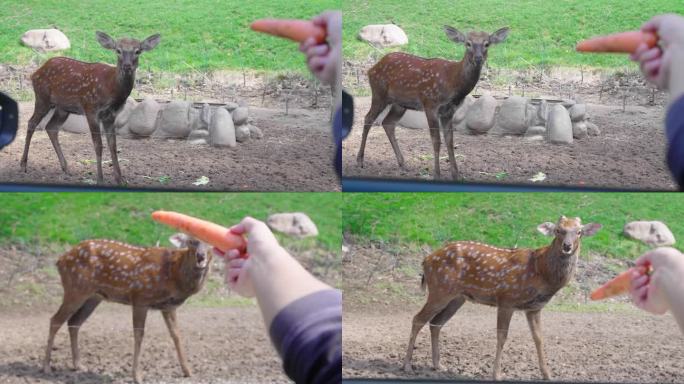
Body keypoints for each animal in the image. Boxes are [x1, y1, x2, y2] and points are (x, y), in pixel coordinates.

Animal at [21, 31, 160, 184]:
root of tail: (34, 73)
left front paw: (120, 179)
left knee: (51, 127)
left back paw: (66, 168)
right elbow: (98, 145)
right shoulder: (91, 108)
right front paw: (100, 179)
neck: (111, 88)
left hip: (63, 108)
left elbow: (113, 145)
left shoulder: (110, 115)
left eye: (138, 51)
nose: (127, 66)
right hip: (42, 98)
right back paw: (23, 165)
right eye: (118, 50)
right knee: (31, 123)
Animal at [44, 232, 210, 382]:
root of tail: (60, 260)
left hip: (93, 296)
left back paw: (78, 365)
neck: (173, 274)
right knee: (55, 320)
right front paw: (137, 376)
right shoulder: (140, 298)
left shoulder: (168, 306)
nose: (201, 255)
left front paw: (188, 371)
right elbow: (139, 335)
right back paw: (47, 367)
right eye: (192, 242)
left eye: (211, 245)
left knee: (74, 322)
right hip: (75, 288)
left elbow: (176, 334)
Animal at [358, 27, 508, 180]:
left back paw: (402, 163)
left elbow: (450, 140)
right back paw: (360, 161)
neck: (453, 83)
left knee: (388, 123)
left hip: (400, 104)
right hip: (379, 93)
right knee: (368, 118)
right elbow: (436, 140)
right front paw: (437, 174)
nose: (478, 58)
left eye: (487, 44)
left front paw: (456, 174)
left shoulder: (449, 111)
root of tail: (371, 69)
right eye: (468, 43)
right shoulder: (430, 104)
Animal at [404, 216, 600, 380]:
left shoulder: (534, 308)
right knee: (417, 319)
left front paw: (547, 374)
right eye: (559, 230)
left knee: (436, 323)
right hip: (440, 290)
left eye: (579, 231)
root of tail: (425, 260)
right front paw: (497, 374)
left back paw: (438, 365)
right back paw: (407, 366)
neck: (541, 271)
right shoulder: (507, 299)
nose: (567, 246)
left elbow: (539, 338)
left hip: (457, 297)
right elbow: (502, 336)